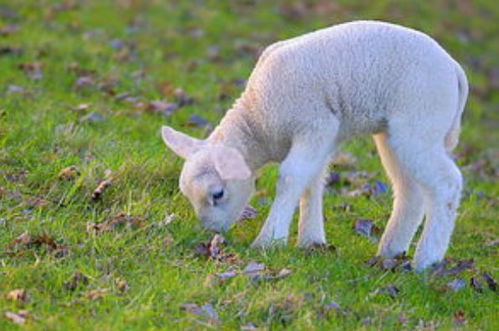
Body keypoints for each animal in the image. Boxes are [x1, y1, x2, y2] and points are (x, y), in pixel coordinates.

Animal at [162, 20, 470, 272]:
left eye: (218, 194)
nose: (211, 233)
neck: (258, 120)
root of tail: (454, 69)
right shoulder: (324, 136)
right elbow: (311, 181)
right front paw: (310, 241)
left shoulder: (314, 124)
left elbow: (291, 177)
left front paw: (269, 240)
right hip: (394, 132)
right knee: (410, 190)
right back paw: (390, 251)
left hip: (419, 121)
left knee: (447, 183)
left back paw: (426, 261)